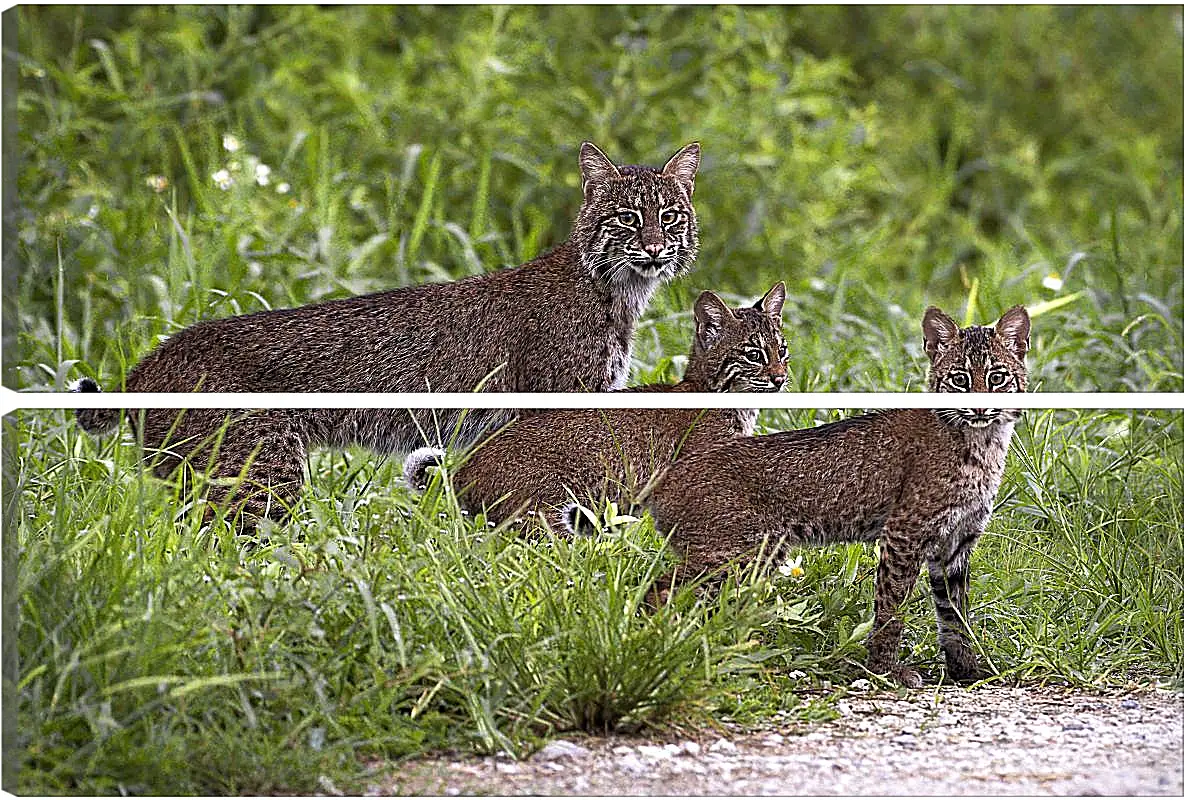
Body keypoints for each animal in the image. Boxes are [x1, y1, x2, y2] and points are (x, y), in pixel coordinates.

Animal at [76, 140, 700, 527]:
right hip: (259, 478)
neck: (620, 289)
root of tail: (148, 361)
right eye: (627, 218)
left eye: (670, 216)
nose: (654, 248)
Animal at [648, 305, 1027, 686]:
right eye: (959, 379)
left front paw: (968, 671)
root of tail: (669, 476)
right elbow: (892, 606)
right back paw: (664, 648)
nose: (978, 408)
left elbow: (955, 615)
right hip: (736, 554)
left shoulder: (956, 542)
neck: (984, 440)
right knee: (660, 589)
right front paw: (885, 669)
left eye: (997, 378)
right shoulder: (904, 532)